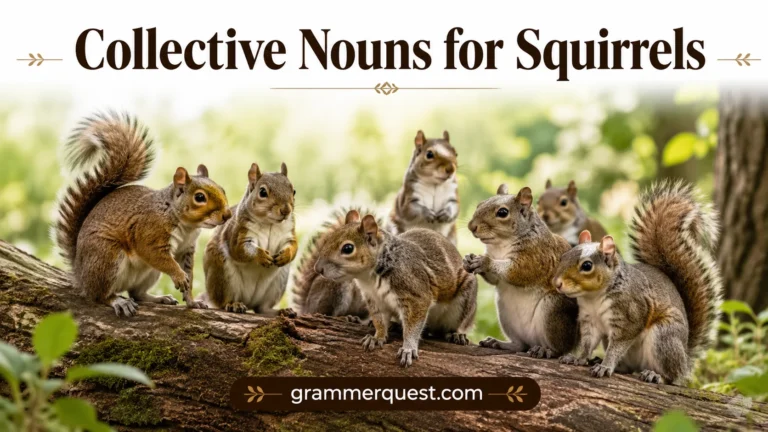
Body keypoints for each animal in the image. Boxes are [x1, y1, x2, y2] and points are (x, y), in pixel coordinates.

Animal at [53, 111, 232, 317]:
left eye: (223, 189)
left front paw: (192, 302)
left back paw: (158, 298)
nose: (227, 215)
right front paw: (179, 276)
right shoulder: (149, 232)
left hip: (149, 273)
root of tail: (80, 273)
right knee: (99, 295)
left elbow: (188, 273)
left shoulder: (186, 249)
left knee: (137, 293)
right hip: (107, 258)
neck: (186, 224)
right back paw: (118, 301)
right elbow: (157, 256)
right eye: (200, 197)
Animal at [202, 163, 298, 316]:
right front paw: (261, 256)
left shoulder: (288, 234)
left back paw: (281, 311)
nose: (286, 211)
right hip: (223, 275)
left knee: (262, 308)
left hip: (278, 283)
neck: (270, 223)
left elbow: (293, 246)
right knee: (223, 302)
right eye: (263, 192)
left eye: (293, 191)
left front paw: (286, 255)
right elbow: (239, 250)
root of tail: (249, 302)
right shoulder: (238, 233)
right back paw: (233, 304)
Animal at [314, 210, 477, 367]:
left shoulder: (415, 294)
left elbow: (413, 326)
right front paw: (377, 337)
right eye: (328, 239)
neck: (369, 278)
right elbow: (379, 320)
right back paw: (394, 325)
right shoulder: (374, 299)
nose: (318, 269)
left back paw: (457, 334)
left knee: (454, 326)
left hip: (464, 303)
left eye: (348, 248)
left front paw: (408, 348)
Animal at [464, 184, 578, 359]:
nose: (472, 227)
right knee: (520, 345)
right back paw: (500, 343)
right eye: (479, 205)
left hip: (554, 310)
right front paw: (468, 259)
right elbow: (494, 279)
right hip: (506, 315)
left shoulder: (538, 256)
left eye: (502, 212)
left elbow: (520, 271)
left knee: (560, 349)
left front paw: (485, 262)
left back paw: (546, 350)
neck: (501, 244)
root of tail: (534, 342)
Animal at [554, 181, 722, 384]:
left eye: (587, 266)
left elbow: (617, 346)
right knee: (629, 368)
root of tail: (685, 358)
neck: (593, 298)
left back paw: (655, 375)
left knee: (671, 376)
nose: (557, 283)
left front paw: (606, 366)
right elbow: (587, 343)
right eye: (563, 256)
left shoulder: (630, 315)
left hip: (663, 337)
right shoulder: (590, 320)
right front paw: (578, 358)